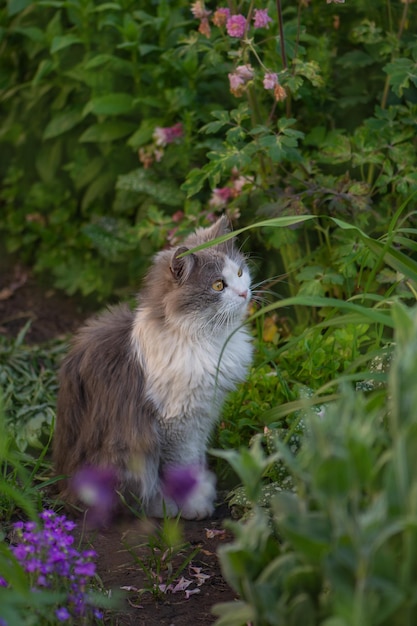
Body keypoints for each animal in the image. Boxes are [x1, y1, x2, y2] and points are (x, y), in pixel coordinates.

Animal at [53, 214, 252, 516]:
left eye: (240, 273)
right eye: (218, 285)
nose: (244, 293)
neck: (202, 339)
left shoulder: (202, 415)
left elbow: (196, 458)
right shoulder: (176, 422)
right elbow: (182, 467)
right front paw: (194, 505)